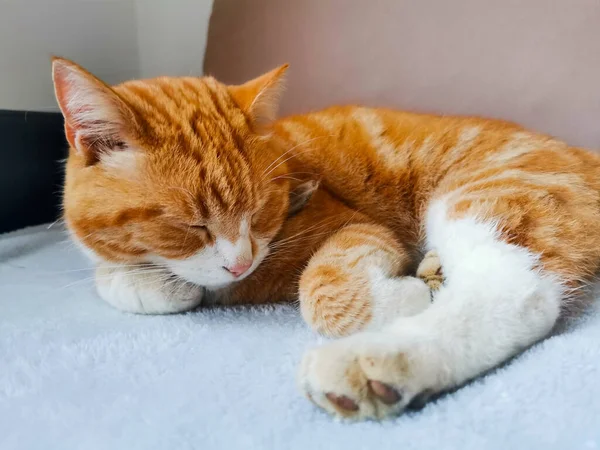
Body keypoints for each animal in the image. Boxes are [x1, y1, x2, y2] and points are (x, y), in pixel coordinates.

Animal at [51, 57, 600, 422]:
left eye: (260, 209)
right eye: (191, 224)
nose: (239, 264)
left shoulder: (352, 226)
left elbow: (322, 289)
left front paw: (404, 294)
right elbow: (122, 278)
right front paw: (151, 281)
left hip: (487, 195)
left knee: (516, 293)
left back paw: (380, 359)